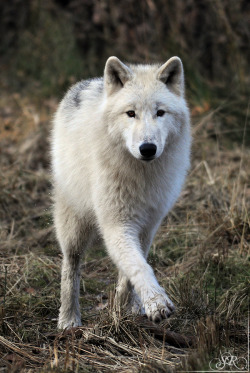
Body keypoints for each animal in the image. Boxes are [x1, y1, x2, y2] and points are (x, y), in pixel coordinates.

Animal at [51, 55, 191, 328]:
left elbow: (132, 269)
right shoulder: (117, 224)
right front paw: (156, 302)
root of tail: (84, 84)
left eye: (160, 113)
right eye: (131, 114)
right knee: (70, 266)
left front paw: (125, 309)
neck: (141, 175)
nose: (147, 148)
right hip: (73, 226)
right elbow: (140, 266)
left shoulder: (148, 226)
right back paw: (68, 319)